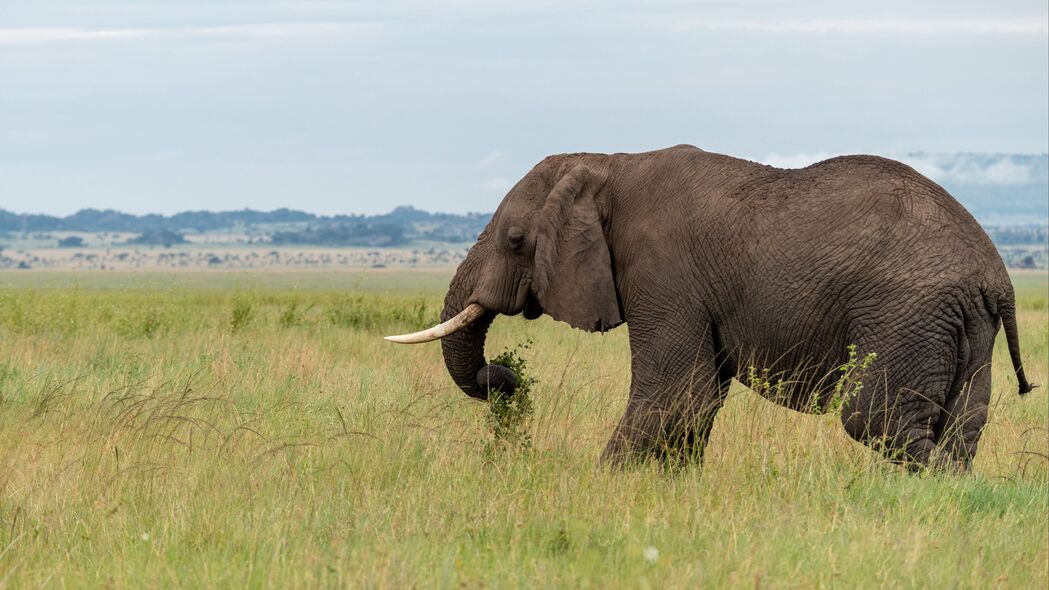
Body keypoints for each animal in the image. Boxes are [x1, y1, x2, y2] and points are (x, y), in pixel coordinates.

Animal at [386, 145, 1032, 468]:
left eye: (515, 240)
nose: (509, 378)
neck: (609, 163)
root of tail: (996, 274)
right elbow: (698, 400)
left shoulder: (663, 270)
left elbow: (679, 392)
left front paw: (602, 486)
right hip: (962, 322)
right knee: (960, 429)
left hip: (907, 312)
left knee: (875, 418)